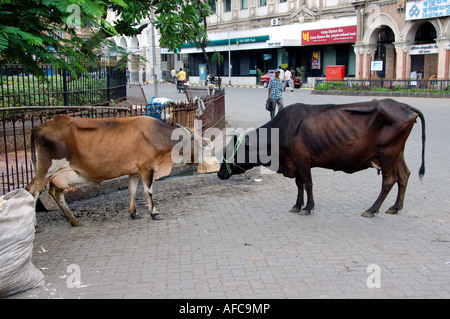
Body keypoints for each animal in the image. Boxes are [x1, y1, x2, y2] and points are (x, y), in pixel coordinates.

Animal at [25, 114, 205, 225]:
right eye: (197, 141)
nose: (199, 160)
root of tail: (42, 126)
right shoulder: (147, 167)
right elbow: (148, 191)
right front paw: (154, 213)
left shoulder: (134, 171)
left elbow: (132, 190)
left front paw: (134, 213)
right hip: (47, 169)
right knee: (32, 190)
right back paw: (35, 225)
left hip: (58, 173)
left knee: (55, 193)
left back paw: (73, 220)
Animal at [218, 99, 426, 219]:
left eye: (228, 153)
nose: (220, 174)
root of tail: (403, 106)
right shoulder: (295, 161)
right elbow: (299, 184)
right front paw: (297, 205)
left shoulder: (302, 160)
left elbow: (308, 183)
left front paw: (308, 207)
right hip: (397, 154)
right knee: (404, 176)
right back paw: (395, 207)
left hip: (387, 154)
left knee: (389, 181)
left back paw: (372, 209)